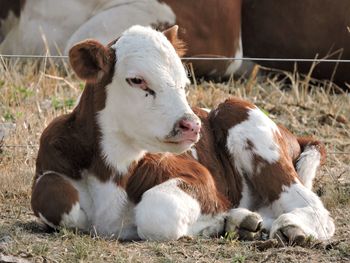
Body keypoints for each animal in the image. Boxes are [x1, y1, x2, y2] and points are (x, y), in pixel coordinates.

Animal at [31, 25, 334, 244]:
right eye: (136, 80)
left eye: (184, 83)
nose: (192, 125)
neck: (113, 168)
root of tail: (290, 133)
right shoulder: (51, 163)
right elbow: (49, 193)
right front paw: (228, 222)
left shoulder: (199, 177)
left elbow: (156, 211)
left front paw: (218, 220)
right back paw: (242, 223)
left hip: (241, 115)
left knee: (312, 207)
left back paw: (291, 227)